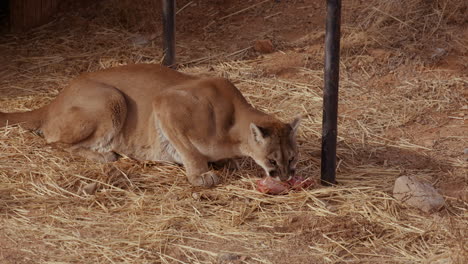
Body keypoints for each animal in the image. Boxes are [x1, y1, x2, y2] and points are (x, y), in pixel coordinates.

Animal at [0, 64, 300, 187]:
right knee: (53, 142)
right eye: (272, 161)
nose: (286, 177)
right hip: (112, 98)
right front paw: (200, 175)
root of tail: (55, 100)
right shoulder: (166, 104)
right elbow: (189, 151)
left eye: (293, 159)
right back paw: (105, 155)